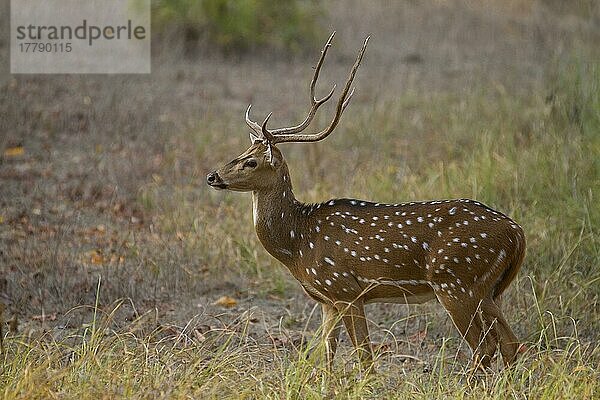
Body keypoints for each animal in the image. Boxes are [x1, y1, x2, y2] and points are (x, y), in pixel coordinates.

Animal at [206, 33, 524, 372]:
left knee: (484, 345)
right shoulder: (328, 301)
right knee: (510, 343)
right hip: (488, 289)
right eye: (240, 152)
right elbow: (325, 354)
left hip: (456, 280)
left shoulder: (345, 289)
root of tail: (517, 233)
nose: (212, 176)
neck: (297, 243)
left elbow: (364, 356)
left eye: (251, 162)